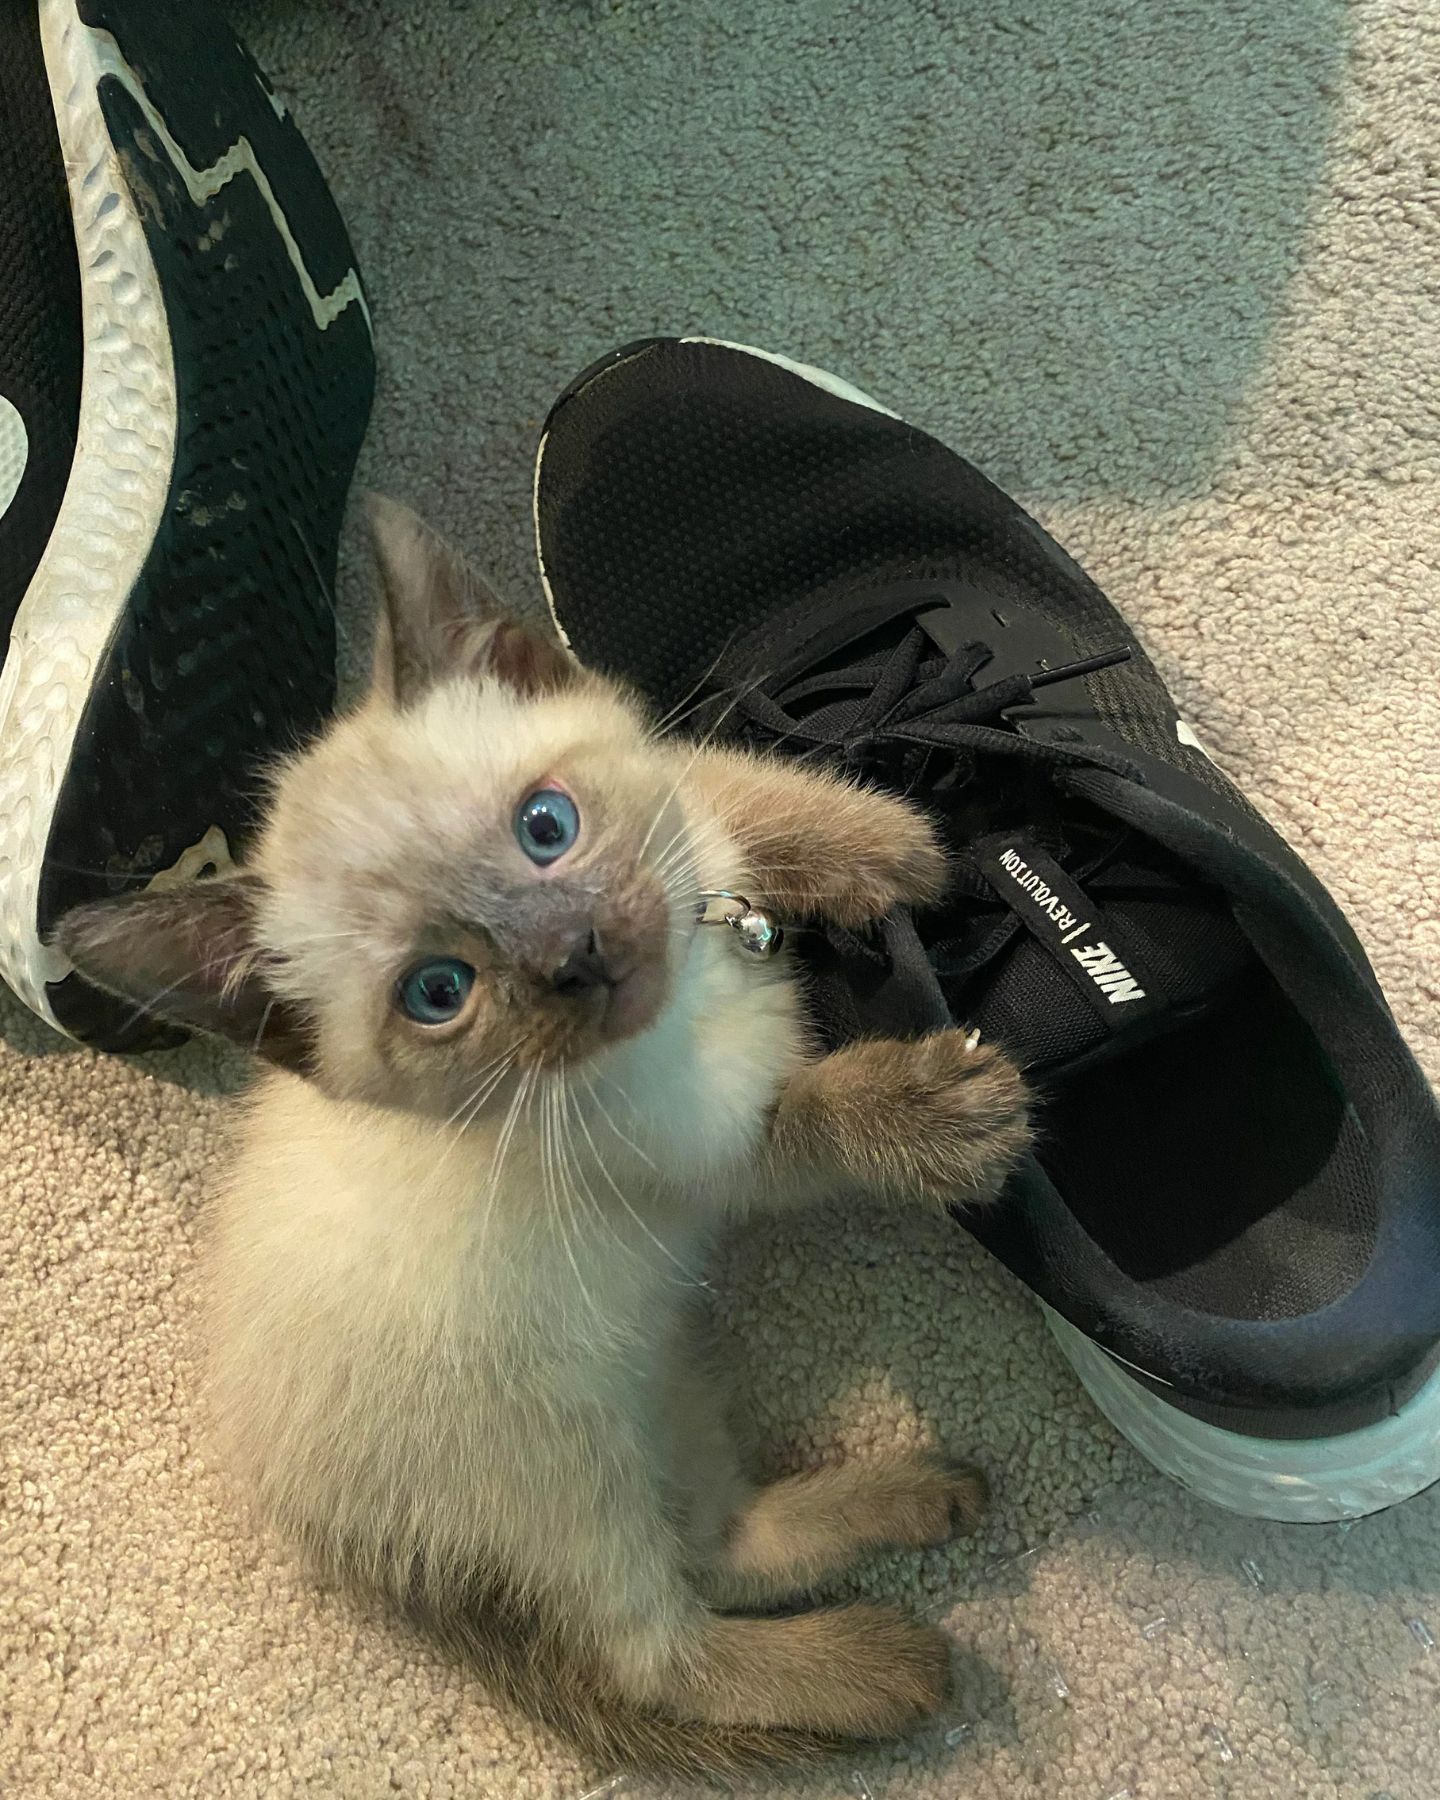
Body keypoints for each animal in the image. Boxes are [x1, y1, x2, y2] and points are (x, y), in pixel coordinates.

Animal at [56, 500, 1022, 1778]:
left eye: (547, 826)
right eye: (439, 992)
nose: (577, 958)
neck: (698, 998)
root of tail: (304, 1511)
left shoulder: (687, 829)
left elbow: (730, 792)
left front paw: (885, 844)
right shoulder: (716, 1157)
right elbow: (817, 1118)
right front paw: (941, 1111)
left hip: (665, 1374)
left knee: (718, 1543)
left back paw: (922, 1498)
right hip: (570, 1475)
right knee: (659, 1658)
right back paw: (887, 1667)